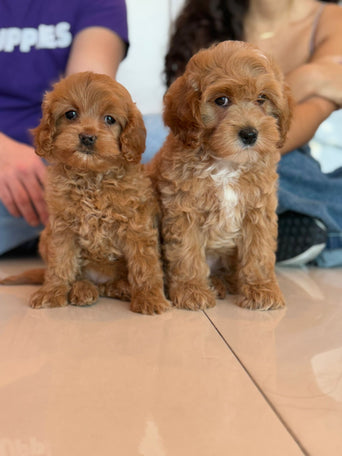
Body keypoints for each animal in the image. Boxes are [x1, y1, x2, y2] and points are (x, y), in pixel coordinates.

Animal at [2, 72, 169, 314]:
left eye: (110, 119)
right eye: (71, 114)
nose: (87, 137)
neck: (91, 177)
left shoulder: (138, 225)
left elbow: (144, 264)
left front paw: (149, 298)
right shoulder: (62, 227)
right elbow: (60, 262)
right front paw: (52, 292)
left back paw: (120, 288)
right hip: (46, 238)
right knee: (81, 276)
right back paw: (83, 289)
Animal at [146, 41, 292, 312]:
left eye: (261, 99)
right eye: (221, 100)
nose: (249, 134)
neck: (227, 164)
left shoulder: (258, 210)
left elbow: (259, 252)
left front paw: (262, 289)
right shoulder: (184, 210)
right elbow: (186, 253)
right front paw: (191, 290)